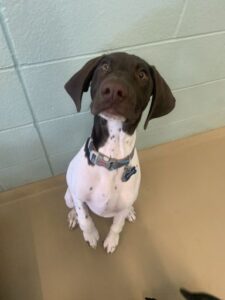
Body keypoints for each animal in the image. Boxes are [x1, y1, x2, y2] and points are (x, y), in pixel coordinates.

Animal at [63, 52, 176, 253]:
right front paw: (91, 235)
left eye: (142, 74)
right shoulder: (78, 196)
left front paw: (111, 240)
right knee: (74, 206)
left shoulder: (121, 208)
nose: (114, 89)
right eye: (104, 66)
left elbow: (117, 225)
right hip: (68, 195)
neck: (111, 157)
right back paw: (72, 215)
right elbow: (85, 218)